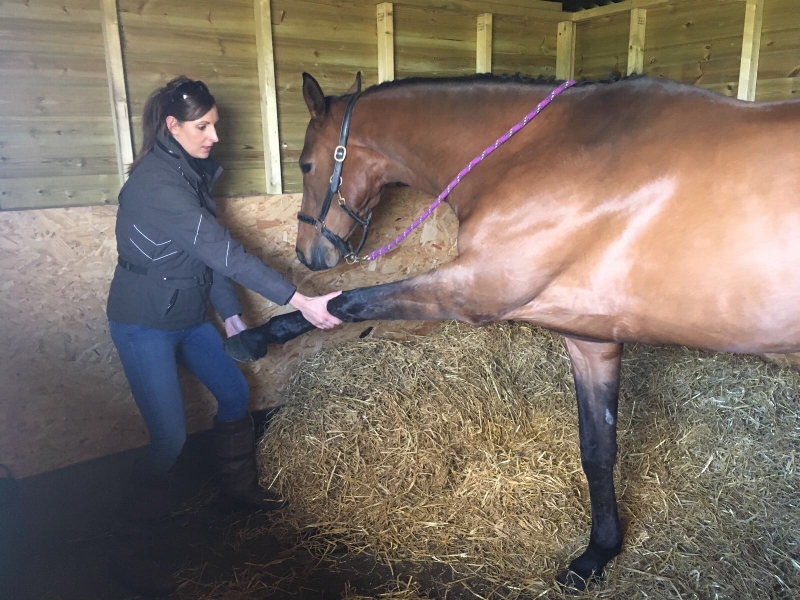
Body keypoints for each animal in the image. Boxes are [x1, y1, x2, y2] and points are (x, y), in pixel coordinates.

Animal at [223, 72, 800, 588]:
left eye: (306, 163)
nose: (308, 255)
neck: (536, 154)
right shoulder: (591, 339)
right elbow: (598, 450)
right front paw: (596, 555)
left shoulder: (475, 290)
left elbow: (353, 301)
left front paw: (257, 336)